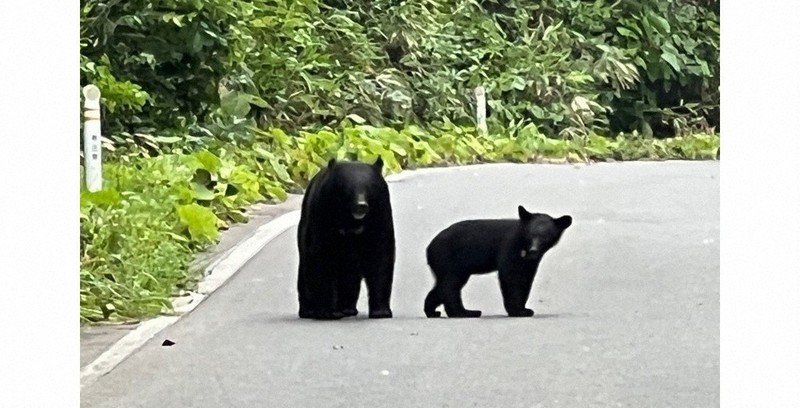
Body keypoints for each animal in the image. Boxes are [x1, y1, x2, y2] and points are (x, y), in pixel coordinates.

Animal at [297, 157, 396, 320]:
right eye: (348, 189)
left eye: (370, 187)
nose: (361, 205)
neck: (351, 220)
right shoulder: (322, 213)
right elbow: (322, 256)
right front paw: (328, 312)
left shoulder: (380, 214)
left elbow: (380, 256)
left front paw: (381, 312)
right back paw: (309, 310)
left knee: (350, 275)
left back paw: (347, 308)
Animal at [424, 206, 572, 318]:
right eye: (531, 234)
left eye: (546, 236)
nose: (534, 250)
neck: (523, 245)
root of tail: (429, 247)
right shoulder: (510, 248)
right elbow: (511, 277)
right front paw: (518, 311)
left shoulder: (529, 262)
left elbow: (526, 279)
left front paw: (524, 308)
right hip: (449, 259)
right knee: (450, 285)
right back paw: (463, 313)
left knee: (443, 285)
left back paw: (433, 311)